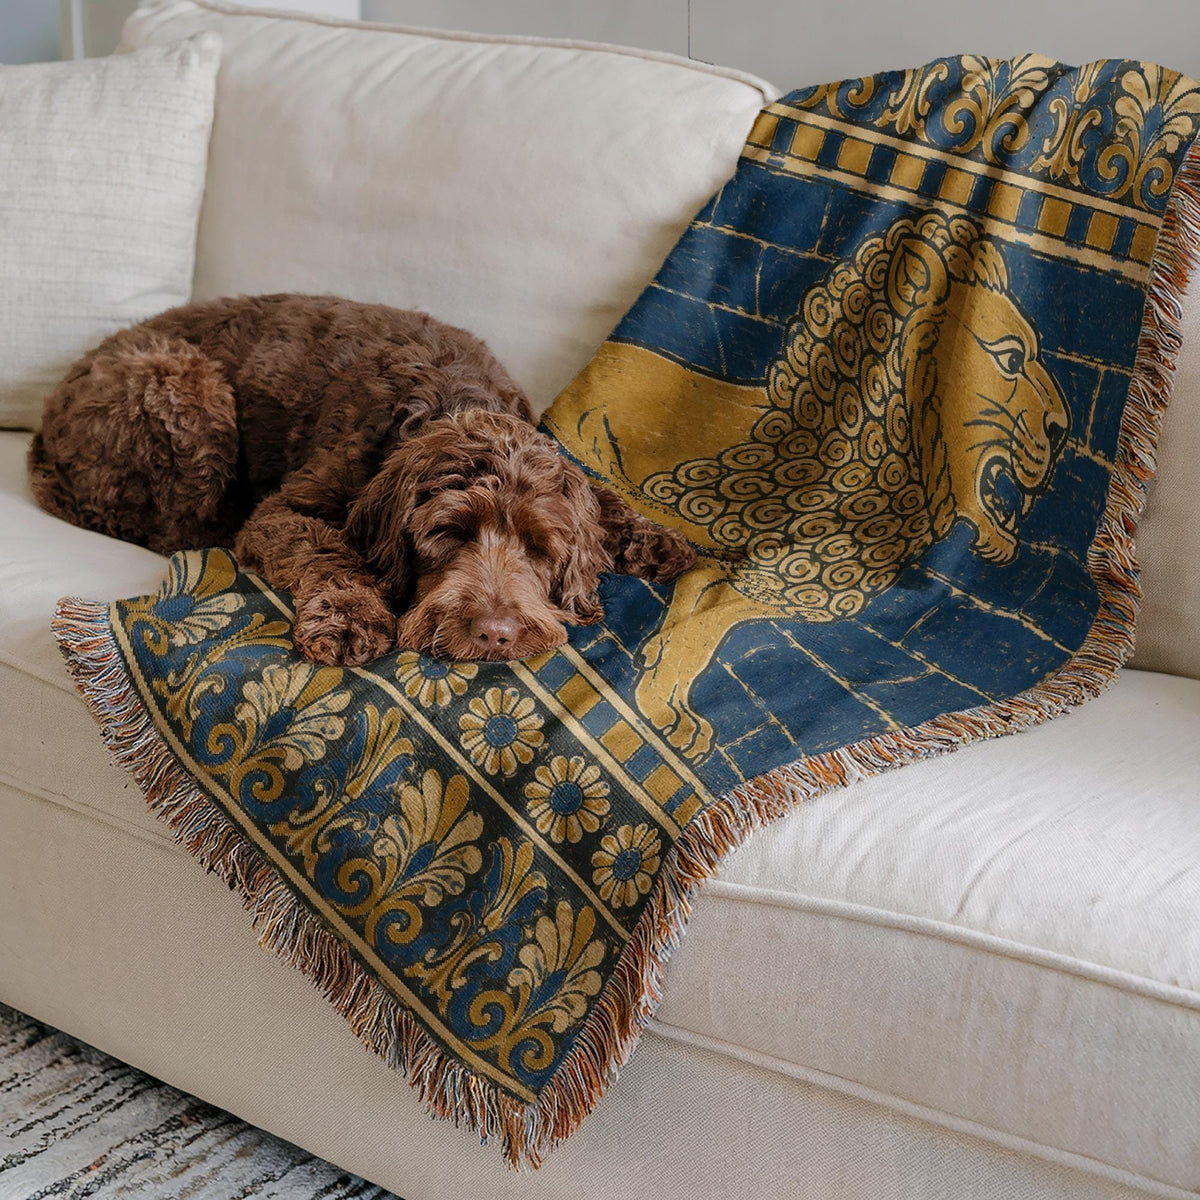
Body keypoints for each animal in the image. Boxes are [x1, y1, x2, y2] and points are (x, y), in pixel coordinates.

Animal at [545, 211, 1071, 758]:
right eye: (1010, 359)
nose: (1063, 428)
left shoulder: (760, 577)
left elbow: (698, 616)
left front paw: (657, 679)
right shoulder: (763, 572)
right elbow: (701, 625)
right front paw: (663, 705)